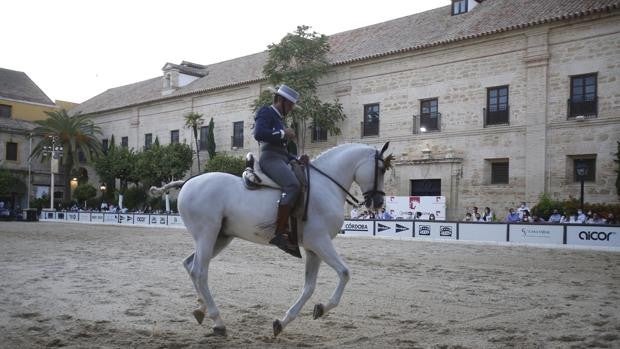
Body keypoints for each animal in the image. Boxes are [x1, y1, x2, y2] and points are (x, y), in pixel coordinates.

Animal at [151, 141, 390, 334]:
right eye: (381, 169)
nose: (378, 203)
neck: (326, 185)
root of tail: (188, 182)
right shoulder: (320, 242)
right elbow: (344, 273)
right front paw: (323, 308)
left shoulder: (313, 248)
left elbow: (309, 287)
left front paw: (284, 322)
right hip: (206, 234)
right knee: (199, 272)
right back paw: (218, 322)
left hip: (219, 238)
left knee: (190, 265)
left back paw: (201, 309)